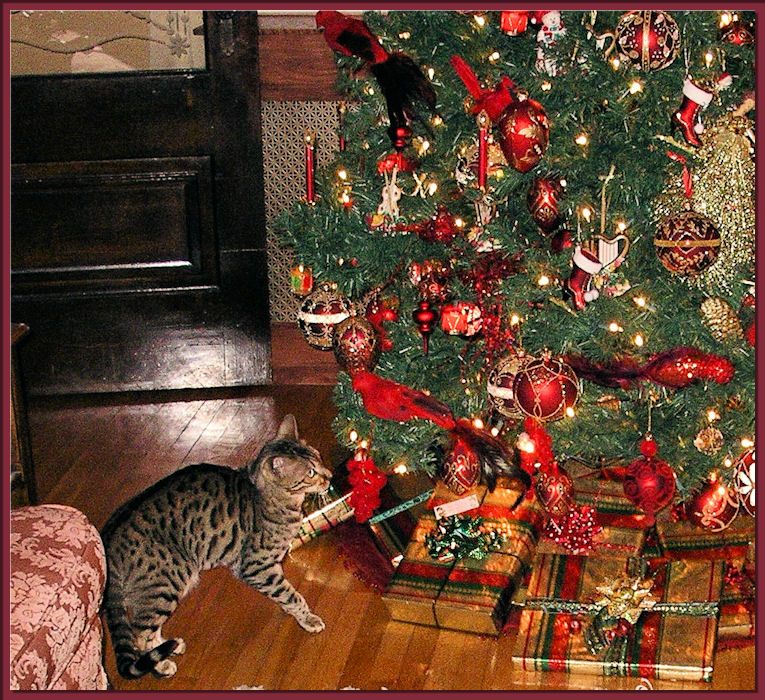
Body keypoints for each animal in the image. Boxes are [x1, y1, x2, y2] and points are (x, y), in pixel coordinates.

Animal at [100, 416, 330, 680]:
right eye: (311, 472)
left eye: (319, 457)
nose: (330, 476)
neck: (268, 496)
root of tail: (107, 537)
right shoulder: (257, 567)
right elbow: (291, 595)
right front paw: (308, 618)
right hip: (166, 582)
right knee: (139, 635)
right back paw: (161, 666)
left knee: (148, 630)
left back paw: (171, 646)